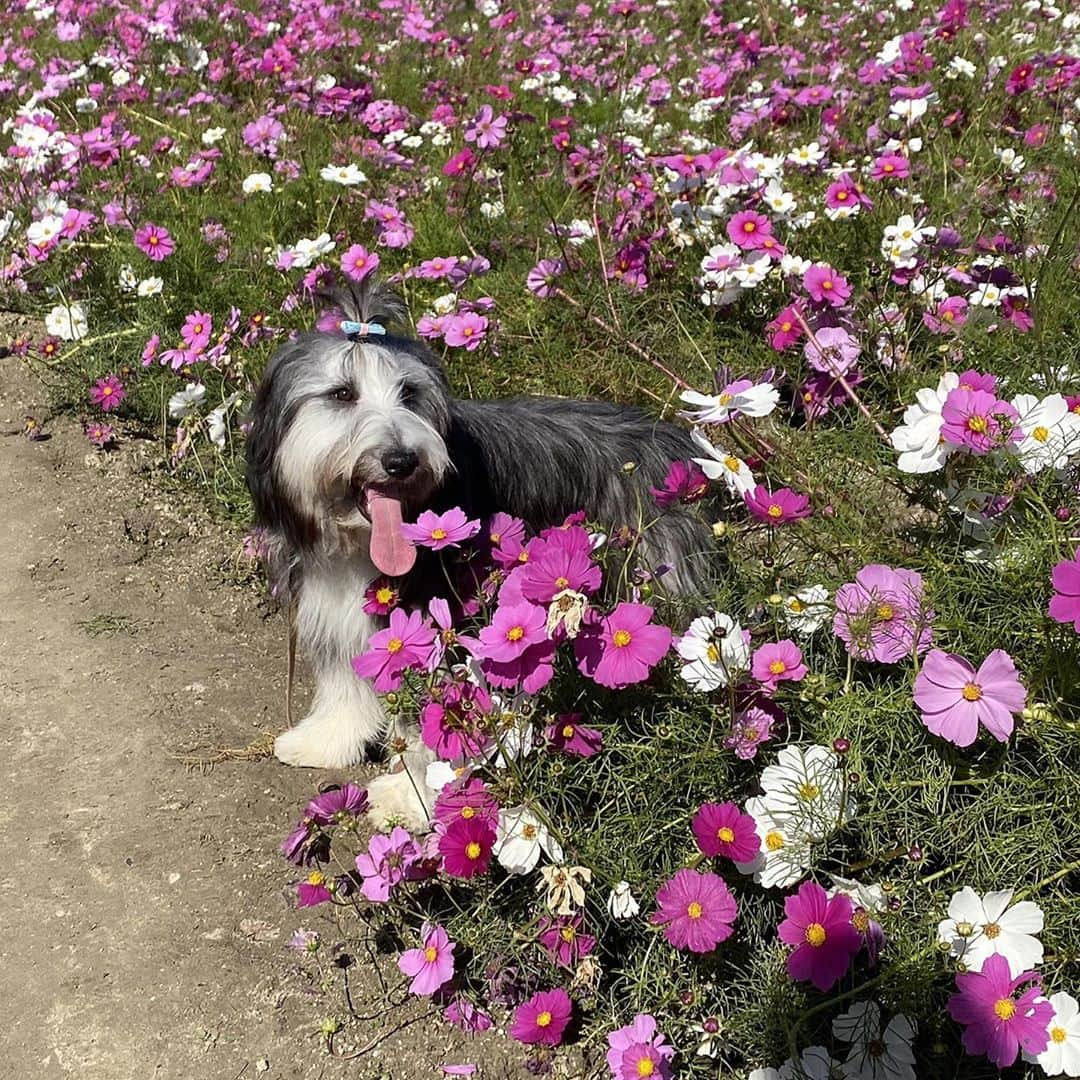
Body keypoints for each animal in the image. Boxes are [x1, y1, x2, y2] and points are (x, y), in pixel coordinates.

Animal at [247, 276, 712, 816]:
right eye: (342, 393)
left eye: (409, 394)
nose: (402, 460)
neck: (360, 542)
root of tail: (680, 443)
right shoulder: (335, 600)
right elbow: (344, 680)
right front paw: (328, 738)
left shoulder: (445, 622)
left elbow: (439, 720)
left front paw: (412, 797)